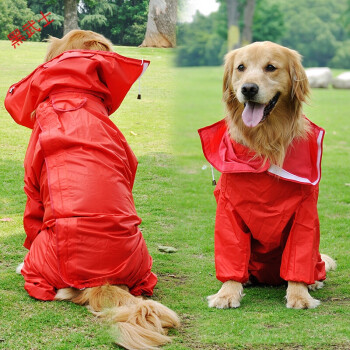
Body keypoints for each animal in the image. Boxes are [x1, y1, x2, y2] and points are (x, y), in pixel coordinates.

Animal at [198, 41, 334, 308]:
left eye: (271, 67)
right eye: (241, 68)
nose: (248, 89)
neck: (265, 144)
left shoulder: (304, 212)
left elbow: (299, 255)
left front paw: (299, 295)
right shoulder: (228, 207)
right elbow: (231, 252)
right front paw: (227, 292)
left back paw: (313, 280)